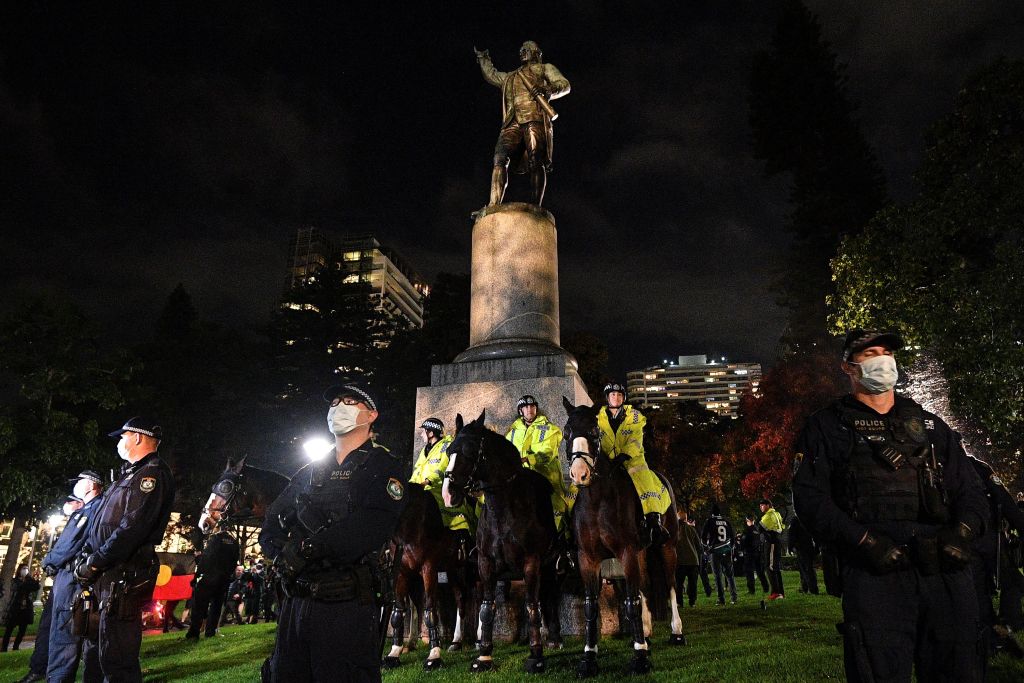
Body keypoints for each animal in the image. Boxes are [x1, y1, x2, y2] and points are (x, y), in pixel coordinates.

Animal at [382, 483, 477, 671]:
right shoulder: (402, 572)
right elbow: (398, 611)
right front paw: (394, 653)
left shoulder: (429, 569)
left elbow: (429, 610)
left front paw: (434, 656)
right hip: (452, 569)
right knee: (460, 597)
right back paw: (456, 642)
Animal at [442, 411, 565, 671]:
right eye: (449, 452)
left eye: (470, 452)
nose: (449, 493)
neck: (504, 511)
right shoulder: (485, 564)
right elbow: (487, 607)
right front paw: (484, 654)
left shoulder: (531, 562)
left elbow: (531, 605)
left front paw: (535, 654)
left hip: (553, 566)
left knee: (550, 596)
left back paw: (554, 637)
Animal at [565, 395, 684, 679]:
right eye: (566, 433)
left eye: (594, 433)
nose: (579, 474)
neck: (597, 500)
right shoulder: (588, 559)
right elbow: (591, 605)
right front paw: (589, 658)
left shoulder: (627, 552)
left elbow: (631, 601)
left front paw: (640, 657)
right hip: (641, 552)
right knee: (645, 587)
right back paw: (647, 633)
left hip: (667, 547)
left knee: (671, 584)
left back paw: (676, 631)